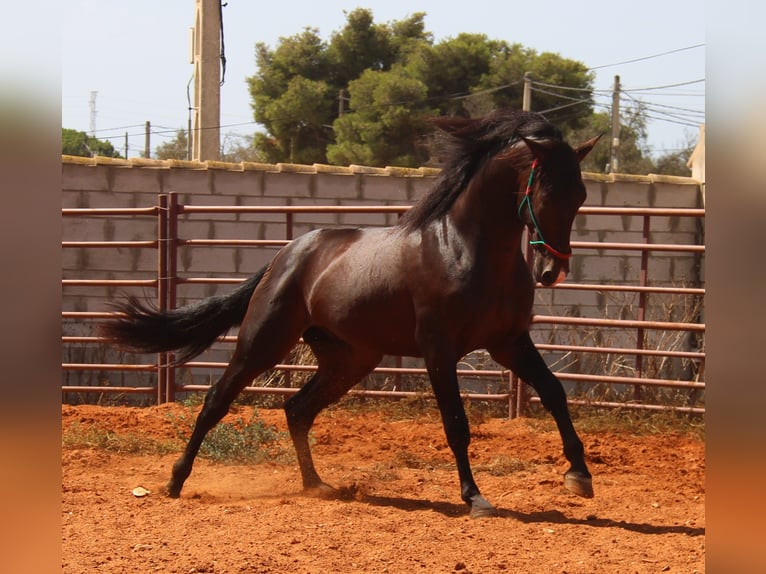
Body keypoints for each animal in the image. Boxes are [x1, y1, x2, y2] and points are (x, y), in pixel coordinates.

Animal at [102, 108, 604, 516]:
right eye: (546, 191)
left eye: (581, 195)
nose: (552, 271)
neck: (466, 250)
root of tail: (288, 255)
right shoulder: (439, 351)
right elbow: (457, 424)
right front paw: (474, 497)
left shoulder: (508, 343)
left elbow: (555, 392)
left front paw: (579, 476)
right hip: (263, 342)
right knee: (216, 402)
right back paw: (175, 481)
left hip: (349, 359)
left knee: (296, 409)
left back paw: (317, 486)